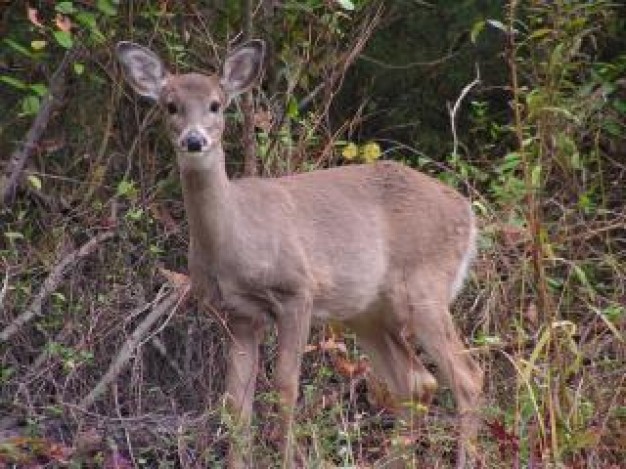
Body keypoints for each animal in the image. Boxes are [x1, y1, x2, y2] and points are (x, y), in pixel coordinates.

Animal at [116, 39, 482, 464]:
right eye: (170, 106)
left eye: (216, 104)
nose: (194, 141)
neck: (235, 239)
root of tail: (466, 210)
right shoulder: (237, 314)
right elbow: (235, 403)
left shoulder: (297, 290)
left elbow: (284, 386)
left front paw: (289, 458)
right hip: (368, 312)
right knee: (416, 381)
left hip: (425, 287)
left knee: (468, 378)